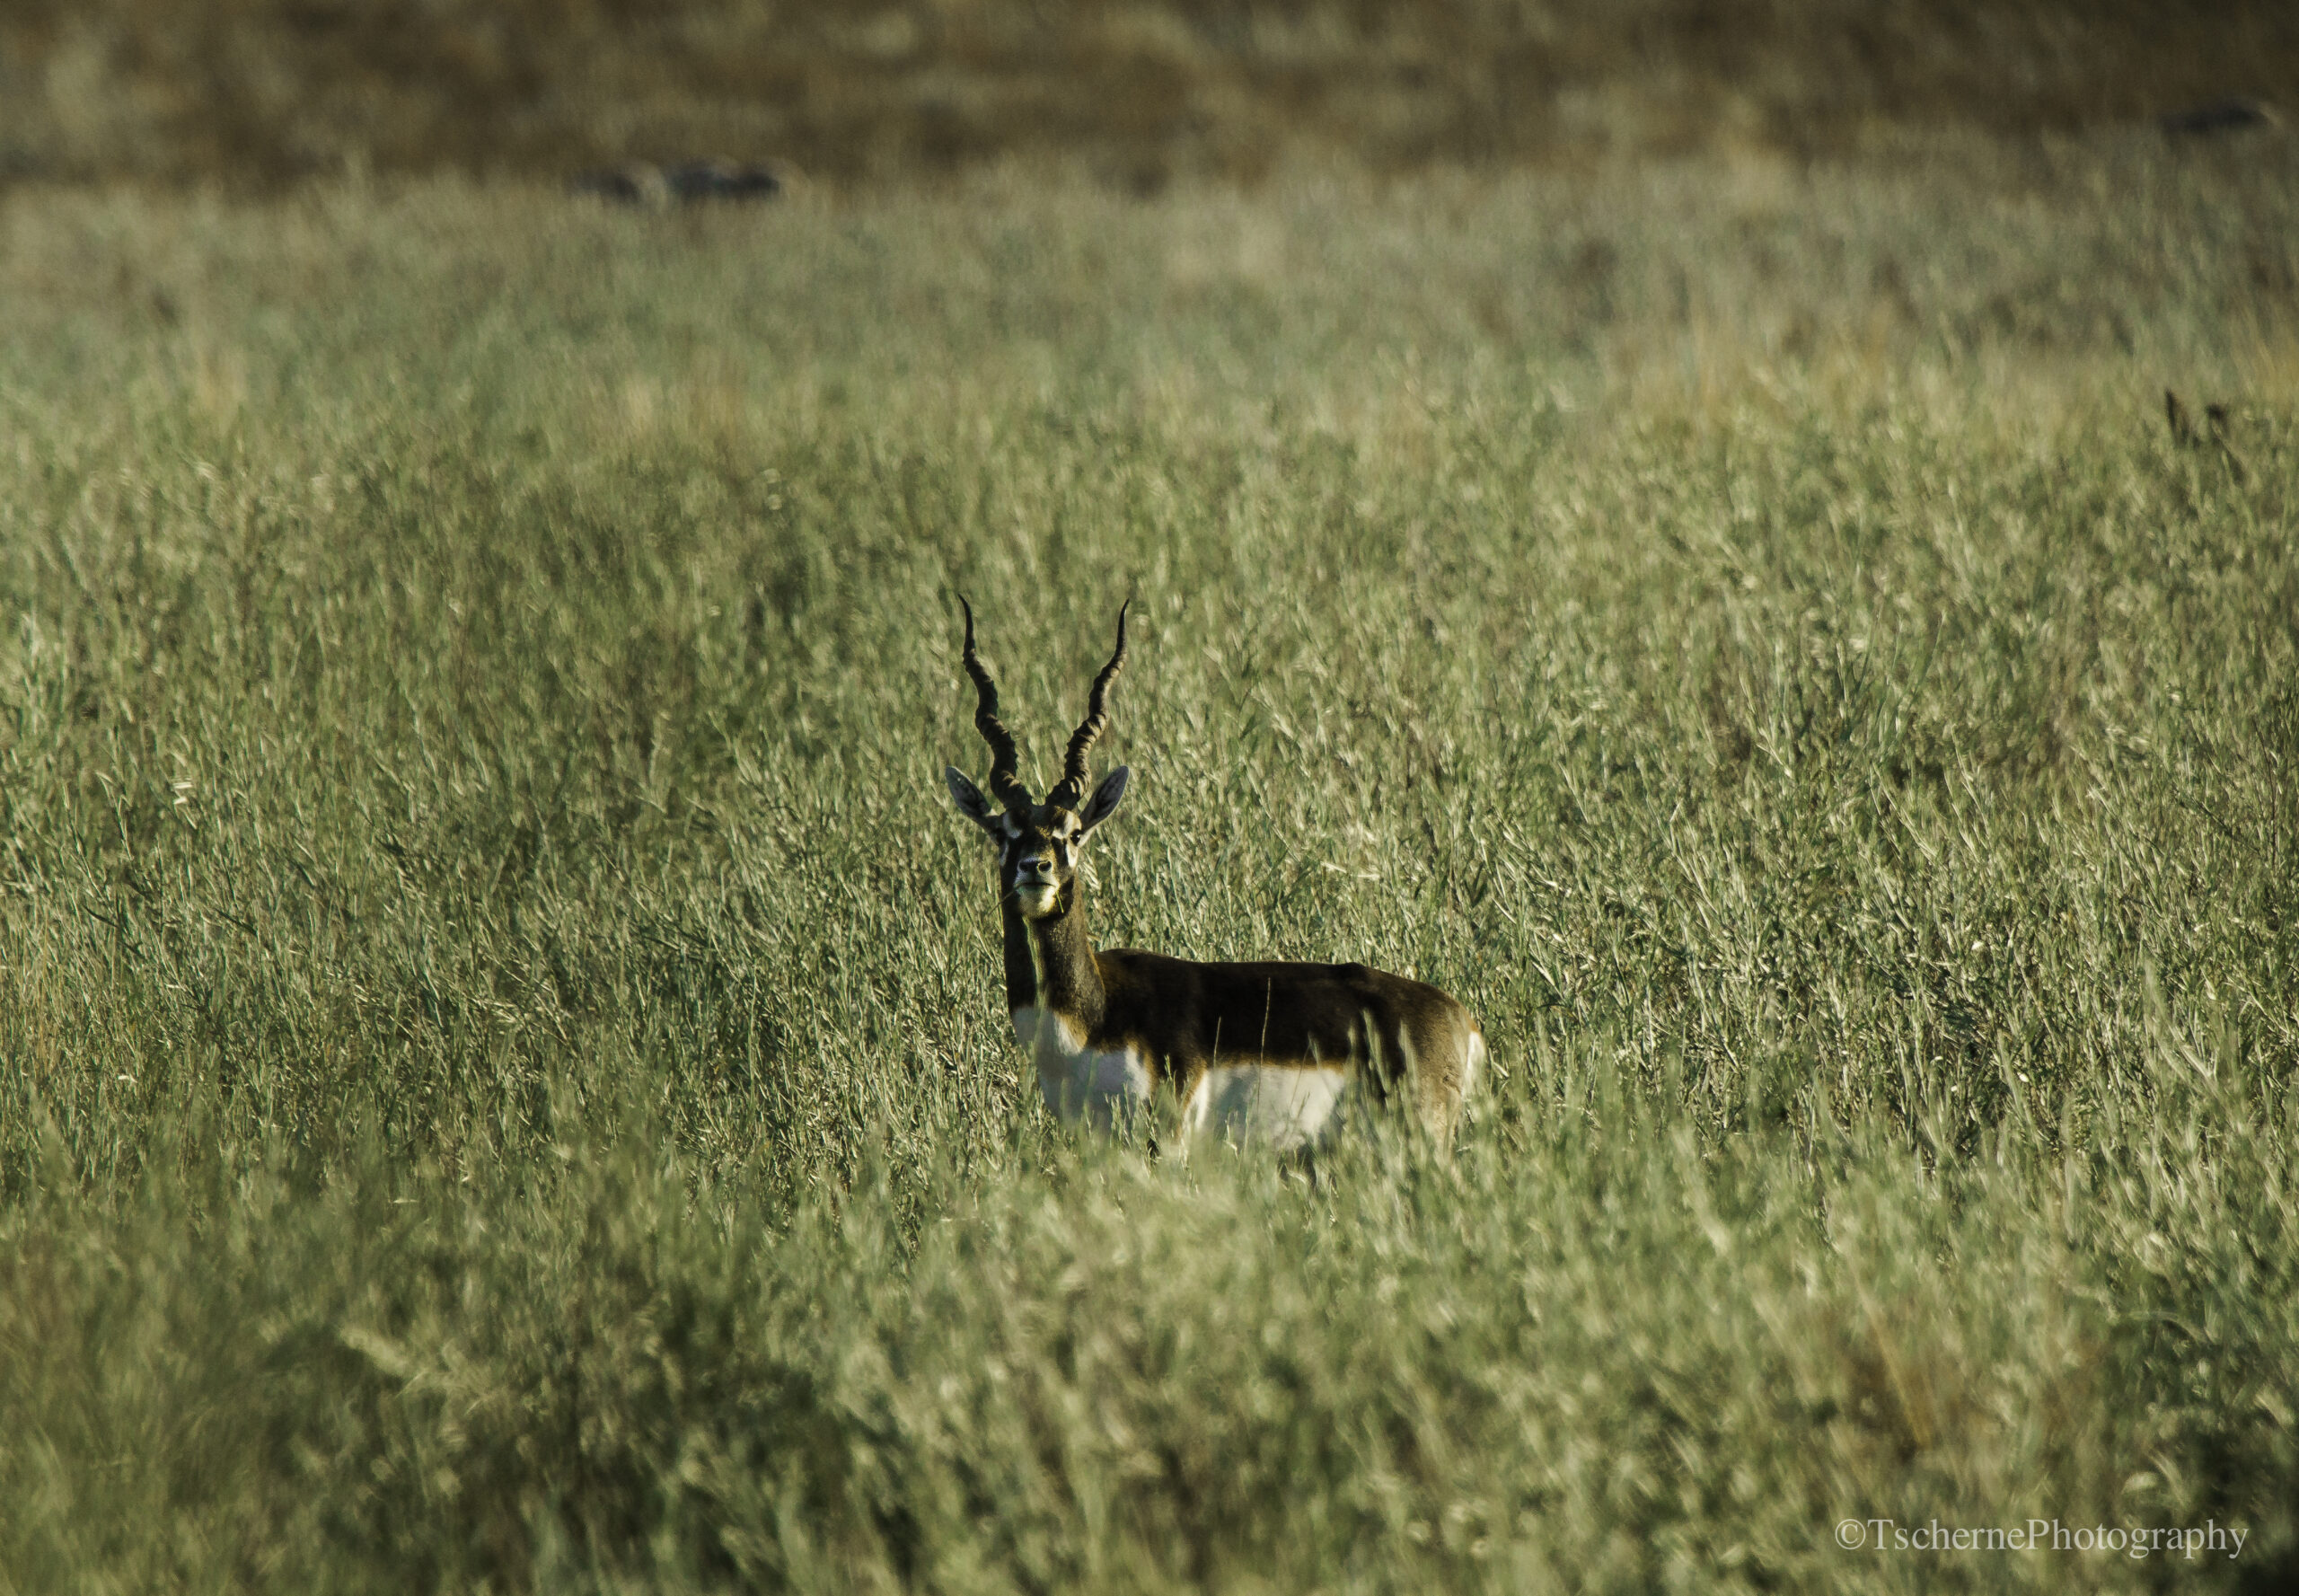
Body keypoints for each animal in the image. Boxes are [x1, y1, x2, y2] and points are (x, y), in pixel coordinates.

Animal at [943, 601, 1485, 1155]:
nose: (1036, 868)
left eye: (1072, 833)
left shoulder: (1170, 1139)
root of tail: (1460, 1019)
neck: (1095, 1016)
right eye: (1002, 831)